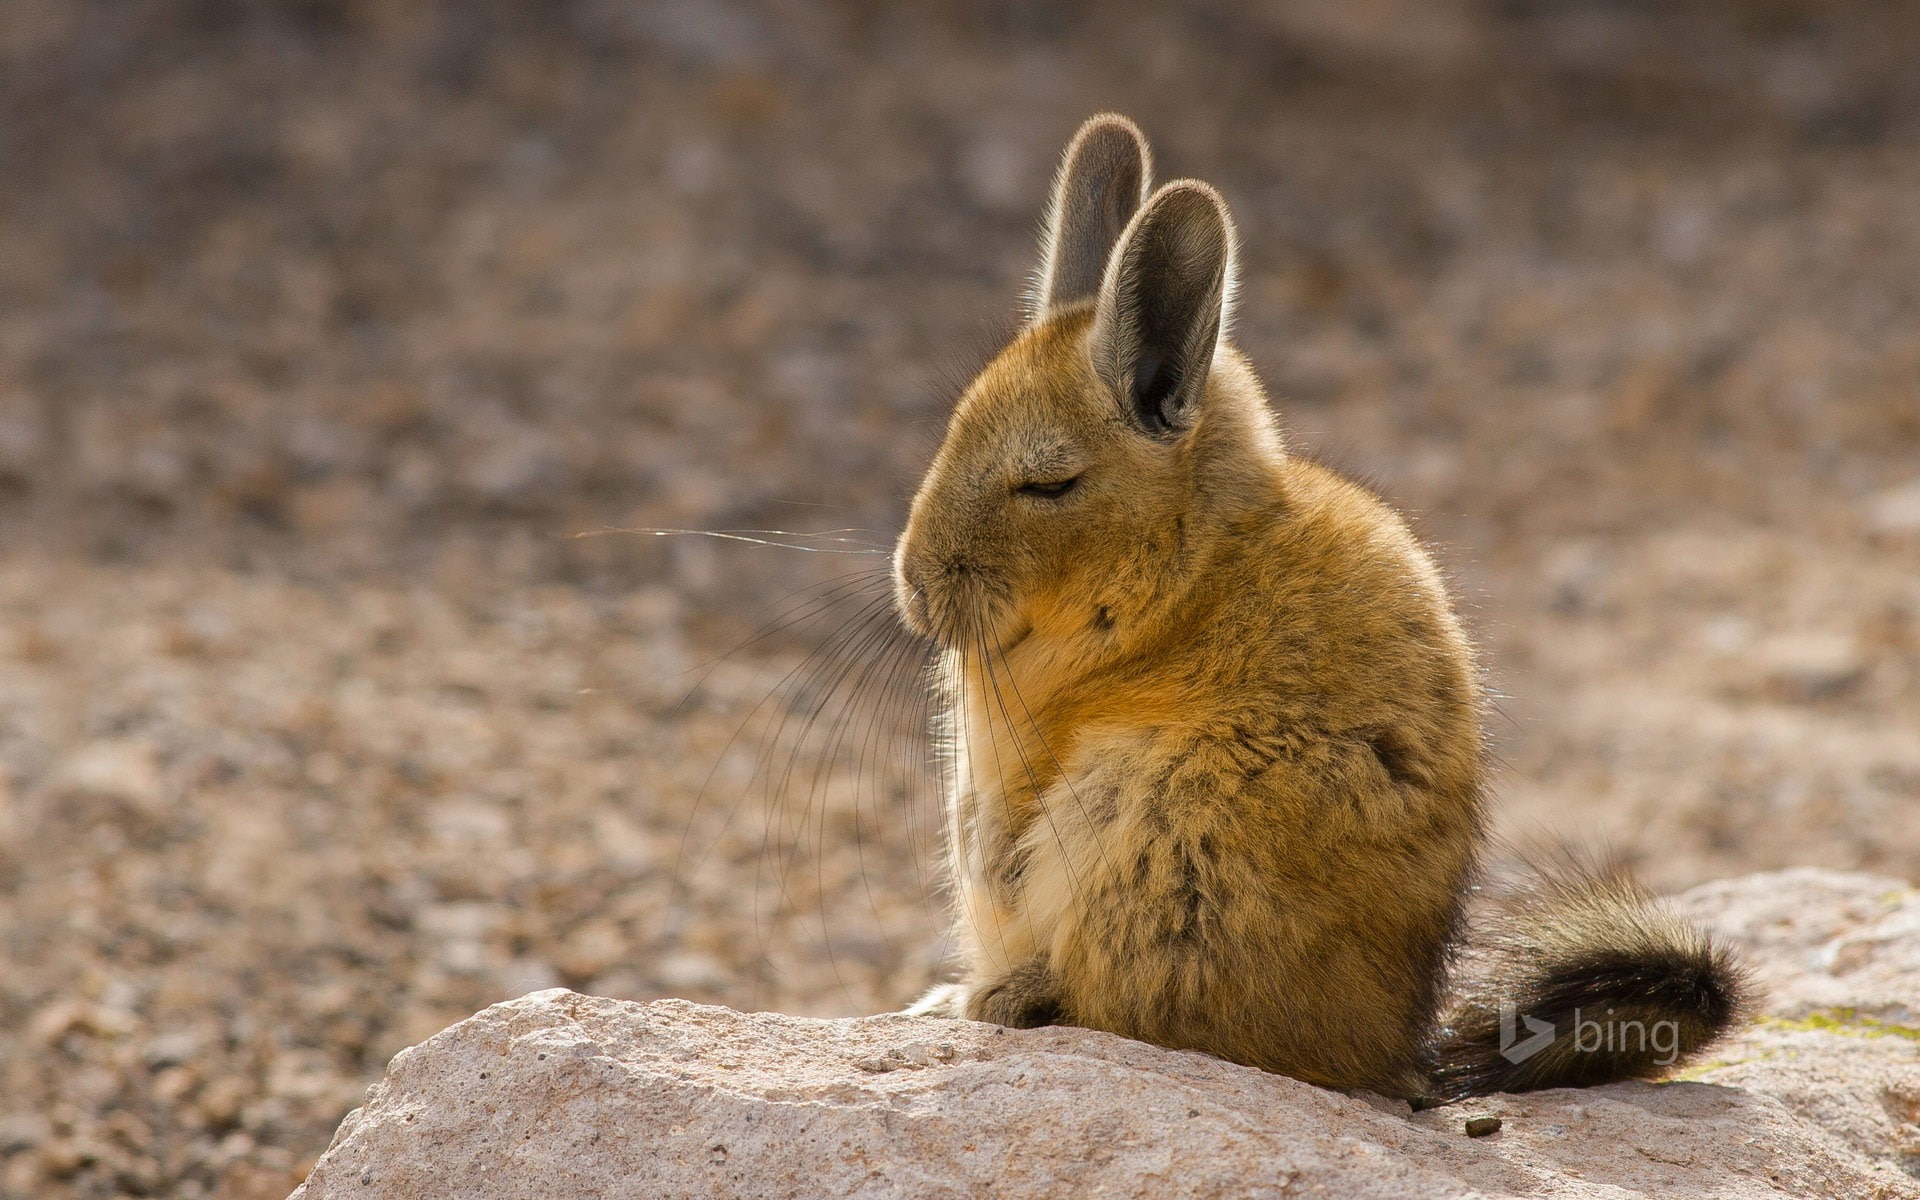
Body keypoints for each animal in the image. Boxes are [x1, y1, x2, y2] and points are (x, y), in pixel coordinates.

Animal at [890, 114, 1748, 1103]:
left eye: (1049, 483)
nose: (912, 585)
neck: (1187, 562)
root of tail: (1396, 1050)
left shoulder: (1015, 772)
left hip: (1153, 820)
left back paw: (996, 998)